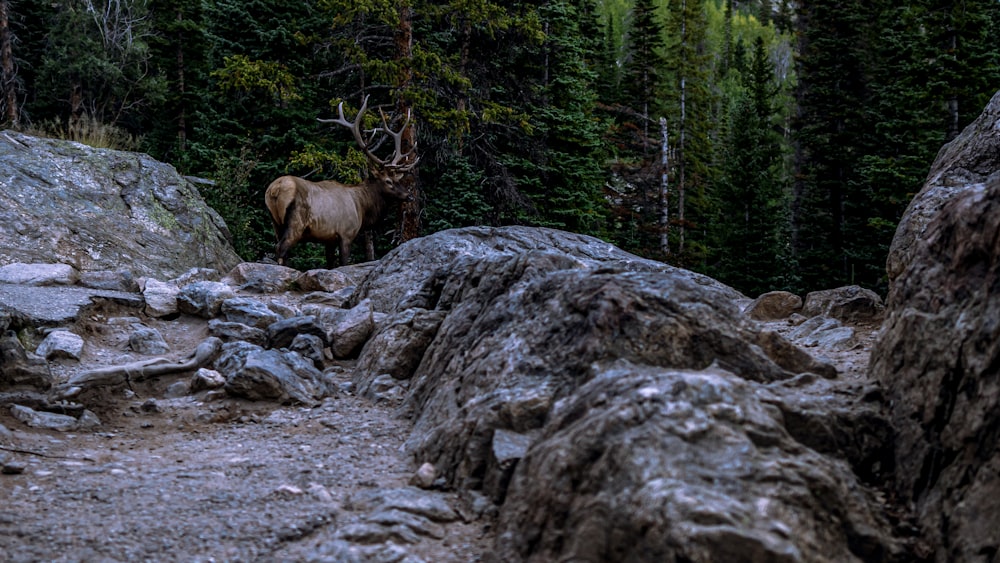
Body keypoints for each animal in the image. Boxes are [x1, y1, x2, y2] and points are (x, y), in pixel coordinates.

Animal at [264, 97, 416, 268]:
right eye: (388, 181)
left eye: (398, 179)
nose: (409, 196)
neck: (362, 207)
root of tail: (274, 190)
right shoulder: (346, 233)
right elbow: (343, 262)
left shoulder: (328, 239)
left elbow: (330, 264)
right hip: (295, 221)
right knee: (281, 248)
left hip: (275, 222)